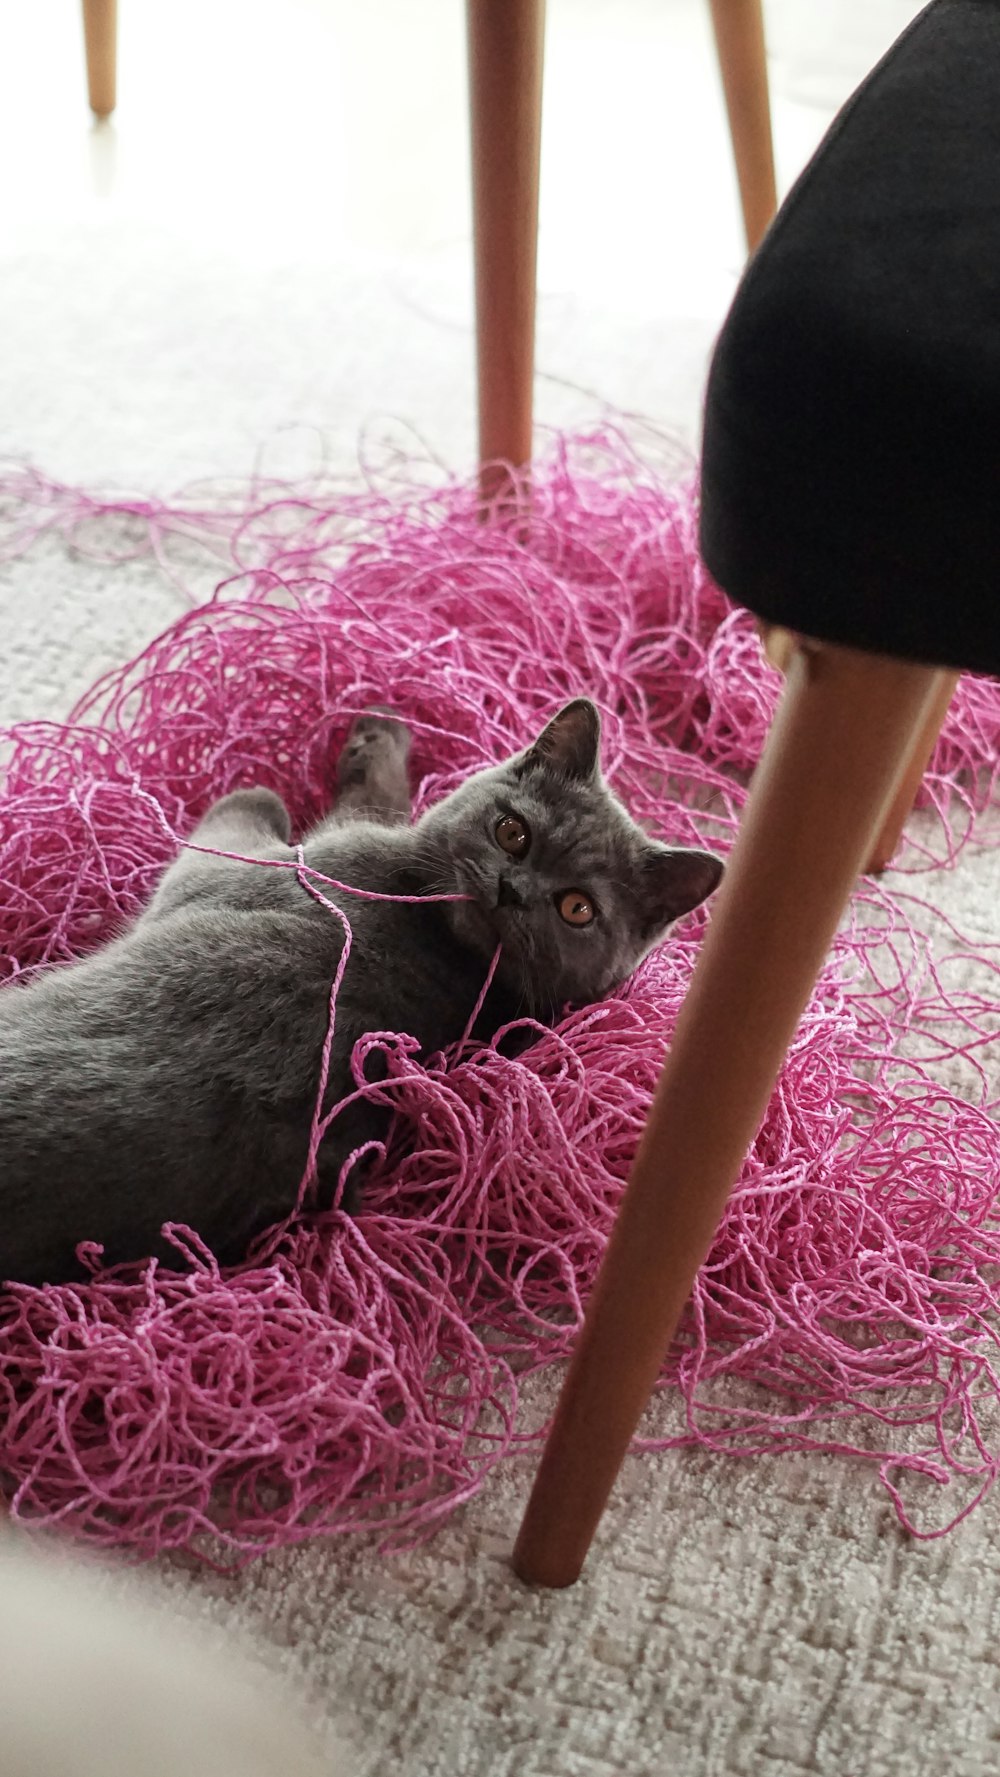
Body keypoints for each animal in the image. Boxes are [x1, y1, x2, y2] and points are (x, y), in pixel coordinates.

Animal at [0, 700, 724, 1286]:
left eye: (577, 908)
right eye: (512, 831)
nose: (513, 889)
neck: (448, 946)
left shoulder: (262, 867)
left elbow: (261, 813)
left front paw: (356, 748)